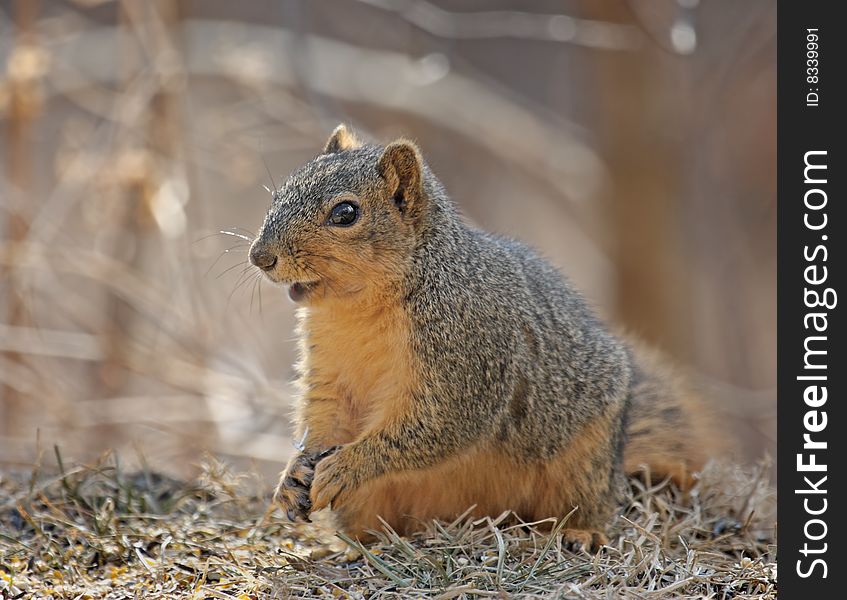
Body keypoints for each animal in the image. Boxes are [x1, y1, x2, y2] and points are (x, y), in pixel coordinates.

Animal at [248, 124, 724, 552]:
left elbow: (435, 426)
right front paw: (293, 474)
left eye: (345, 213)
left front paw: (347, 465)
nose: (259, 257)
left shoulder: (467, 353)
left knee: (583, 505)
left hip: (583, 460)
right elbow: (324, 415)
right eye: (278, 194)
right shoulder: (328, 366)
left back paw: (581, 532)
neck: (359, 308)